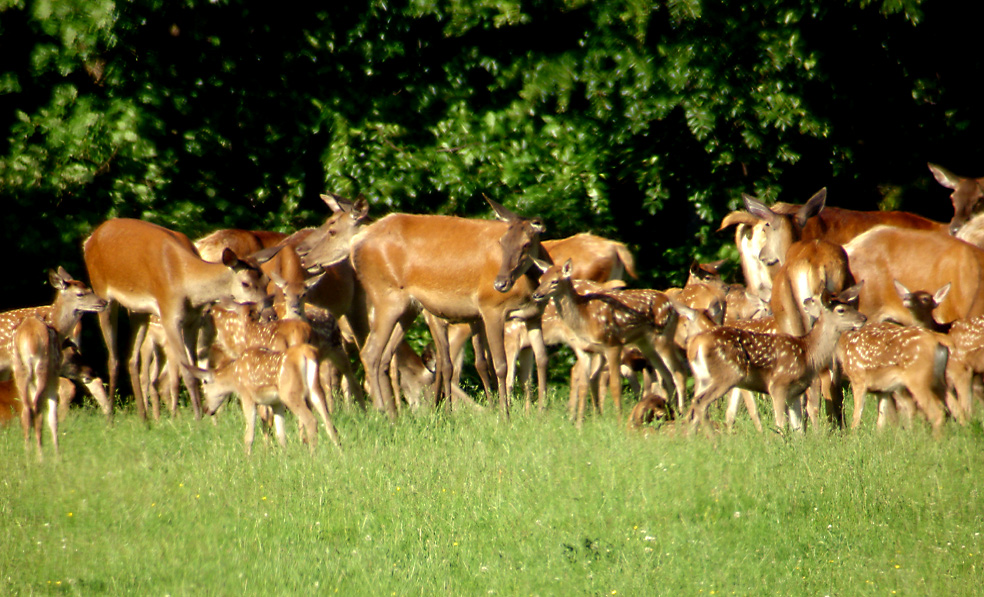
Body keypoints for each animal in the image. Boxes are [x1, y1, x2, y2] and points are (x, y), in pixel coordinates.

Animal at [10, 268, 107, 458]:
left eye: (89, 288)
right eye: (80, 293)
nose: (103, 301)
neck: (58, 329)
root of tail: (27, 339)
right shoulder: (54, 372)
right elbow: (52, 416)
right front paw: (56, 454)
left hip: (20, 369)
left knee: (26, 409)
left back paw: (28, 454)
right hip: (42, 367)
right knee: (38, 408)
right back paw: (41, 456)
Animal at [83, 218, 276, 420]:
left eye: (267, 281)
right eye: (245, 283)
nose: (270, 314)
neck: (187, 283)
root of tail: (89, 239)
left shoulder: (193, 321)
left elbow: (195, 369)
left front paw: (201, 416)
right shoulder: (169, 317)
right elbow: (187, 373)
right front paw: (198, 419)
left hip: (138, 310)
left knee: (132, 360)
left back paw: (144, 419)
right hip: (102, 291)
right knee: (113, 359)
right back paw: (110, 418)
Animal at [186, 342, 340, 454]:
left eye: (204, 388)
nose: (206, 409)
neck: (234, 377)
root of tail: (307, 353)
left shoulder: (247, 396)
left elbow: (249, 435)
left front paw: (247, 459)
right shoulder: (276, 402)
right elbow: (281, 435)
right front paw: (285, 457)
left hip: (291, 393)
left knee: (311, 420)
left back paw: (313, 455)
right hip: (315, 390)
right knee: (329, 422)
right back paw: (339, 453)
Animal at [680, 284, 864, 434]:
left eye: (850, 305)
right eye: (841, 310)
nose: (863, 318)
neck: (807, 352)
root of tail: (696, 344)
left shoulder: (794, 392)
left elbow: (798, 430)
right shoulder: (778, 385)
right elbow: (780, 424)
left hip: (704, 378)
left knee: (696, 404)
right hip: (727, 375)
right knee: (701, 403)